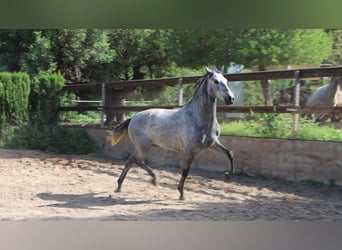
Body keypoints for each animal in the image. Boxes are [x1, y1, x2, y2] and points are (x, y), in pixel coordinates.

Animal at [109, 67, 235, 199]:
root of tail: (133, 118)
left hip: (146, 147)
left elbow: (230, 153)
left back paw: (126, 185)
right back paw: (147, 180)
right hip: (144, 147)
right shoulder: (190, 151)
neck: (197, 118)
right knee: (133, 160)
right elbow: (185, 172)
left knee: (132, 161)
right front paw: (182, 194)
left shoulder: (213, 144)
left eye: (226, 80)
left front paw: (227, 176)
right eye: (216, 81)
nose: (231, 98)